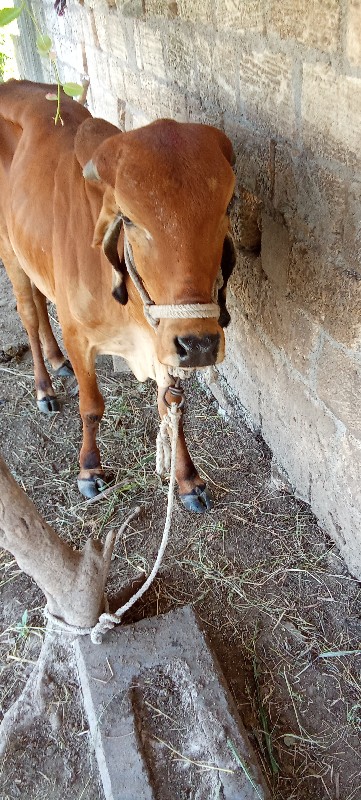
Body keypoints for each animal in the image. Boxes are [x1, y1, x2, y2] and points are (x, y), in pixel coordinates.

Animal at [0, 81, 235, 512]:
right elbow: (92, 407)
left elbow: (172, 409)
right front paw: (89, 470)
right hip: (10, 253)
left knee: (41, 304)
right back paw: (44, 387)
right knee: (28, 314)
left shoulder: (162, 343)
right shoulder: (79, 336)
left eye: (226, 208)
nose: (199, 345)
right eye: (127, 218)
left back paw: (56, 361)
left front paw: (187, 480)